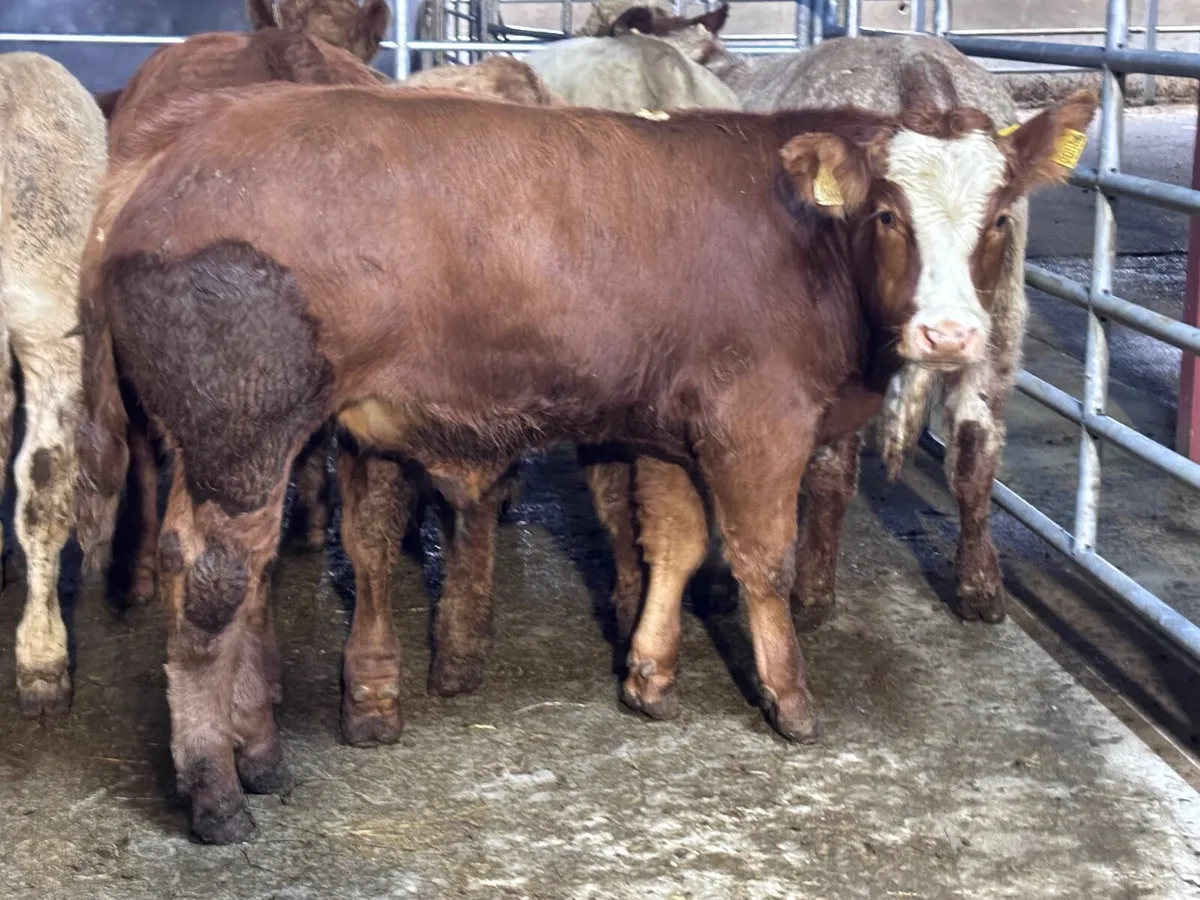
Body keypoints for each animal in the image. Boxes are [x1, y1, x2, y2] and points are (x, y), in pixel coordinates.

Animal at [73, 80, 1094, 841]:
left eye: (1000, 218)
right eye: (887, 214)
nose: (950, 333)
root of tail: (172, 146)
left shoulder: (669, 426)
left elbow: (677, 545)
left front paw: (650, 677)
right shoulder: (756, 422)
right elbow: (760, 560)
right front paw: (791, 697)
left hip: (217, 443)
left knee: (225, 576)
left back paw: (259, 756)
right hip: (244, 432)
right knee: (215, 582)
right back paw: (214, 793)